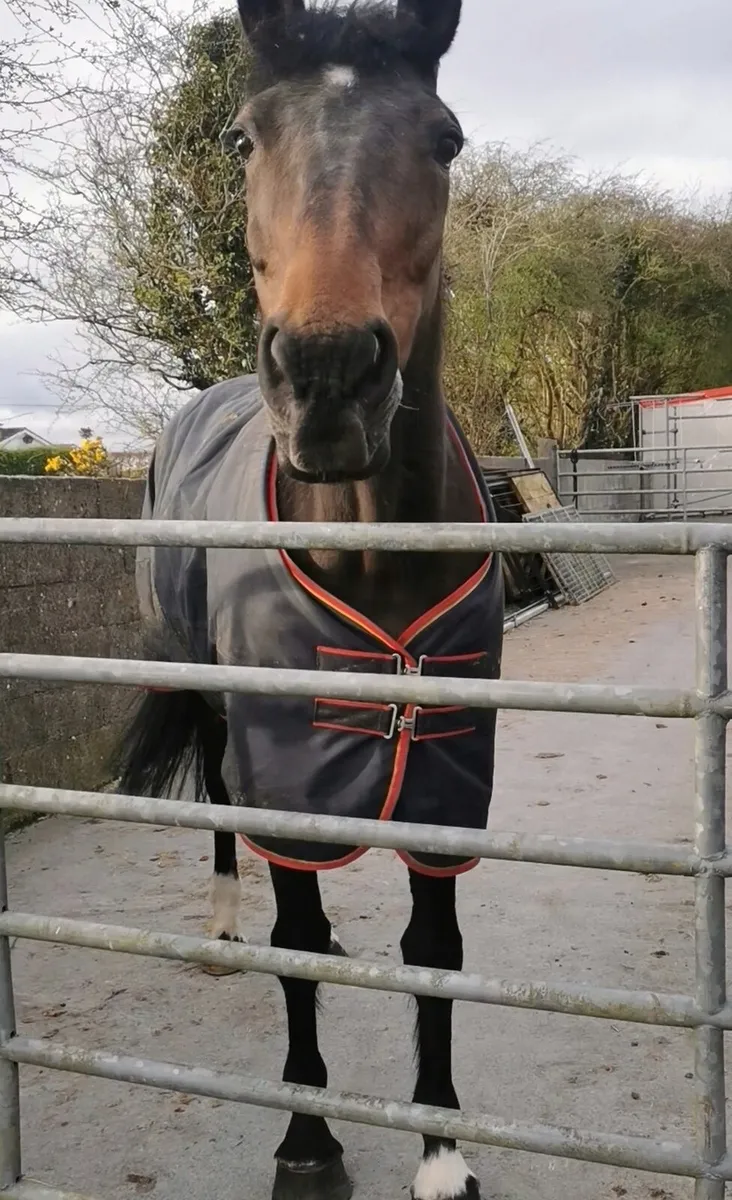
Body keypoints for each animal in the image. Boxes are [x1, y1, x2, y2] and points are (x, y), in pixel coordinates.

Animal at [114, 2, 504, 1197]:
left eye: (445, 139)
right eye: (243, 139)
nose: (329, 379)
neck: (369, 547)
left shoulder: (447, 782)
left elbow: (436, 959)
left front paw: (441, 1155)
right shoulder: (284, 767)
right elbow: (293, 938)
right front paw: (308, 1143)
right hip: (208, 695)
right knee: (225, 815)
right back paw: (223, 928)